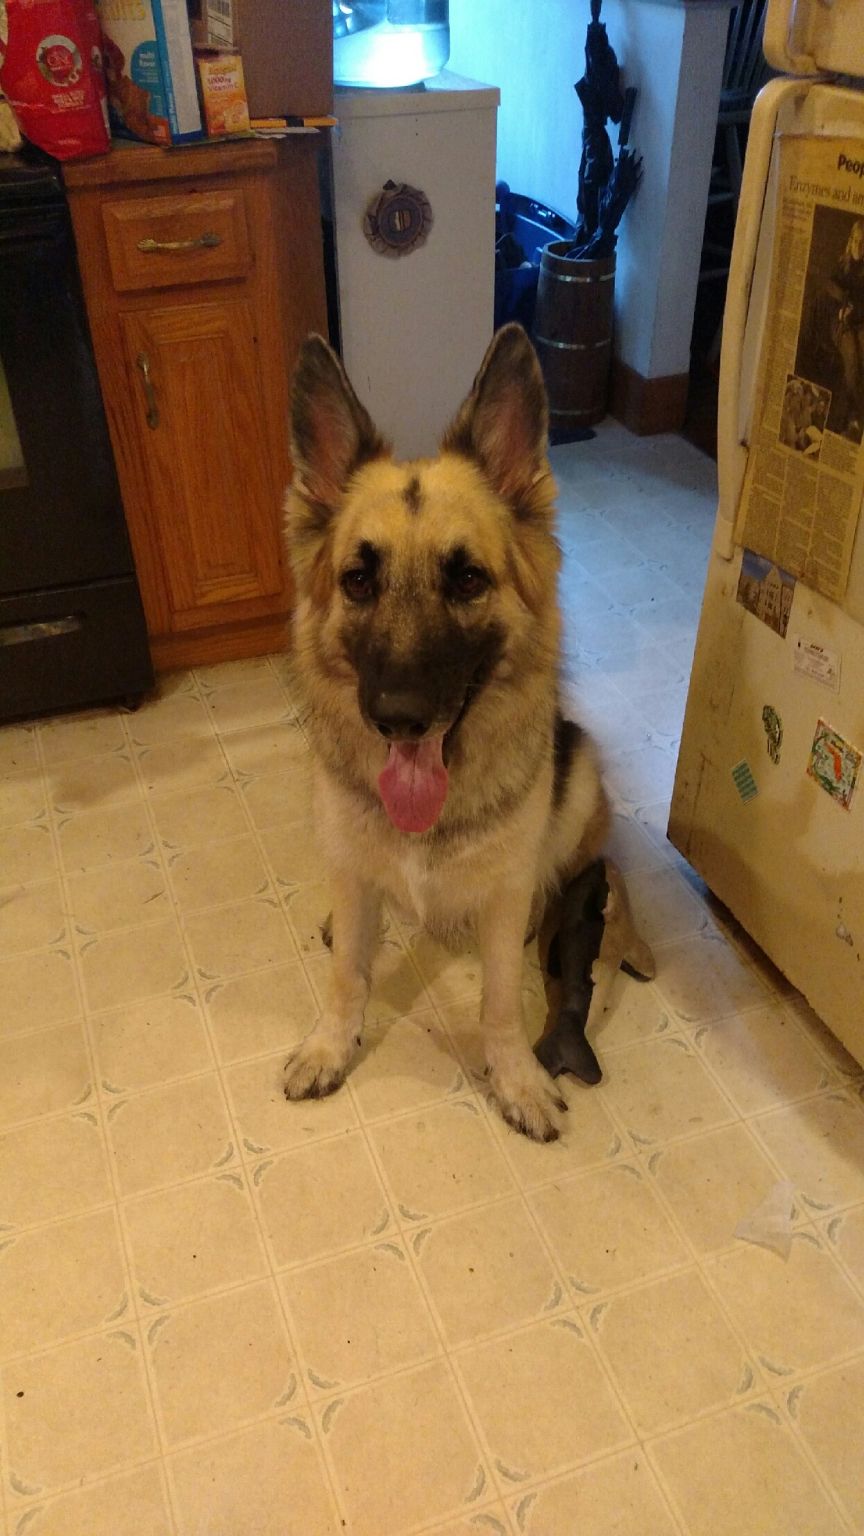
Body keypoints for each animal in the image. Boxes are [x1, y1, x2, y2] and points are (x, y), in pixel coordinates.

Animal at [282, 322, 651, 1142]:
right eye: (359, 580)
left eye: (468, 580)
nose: (397, 715)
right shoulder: (349, 866)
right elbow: (348, 974)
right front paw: (330, 1045)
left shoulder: (505, 902)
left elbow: (501, 1001)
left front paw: (513, 1077)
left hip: (580, 777)